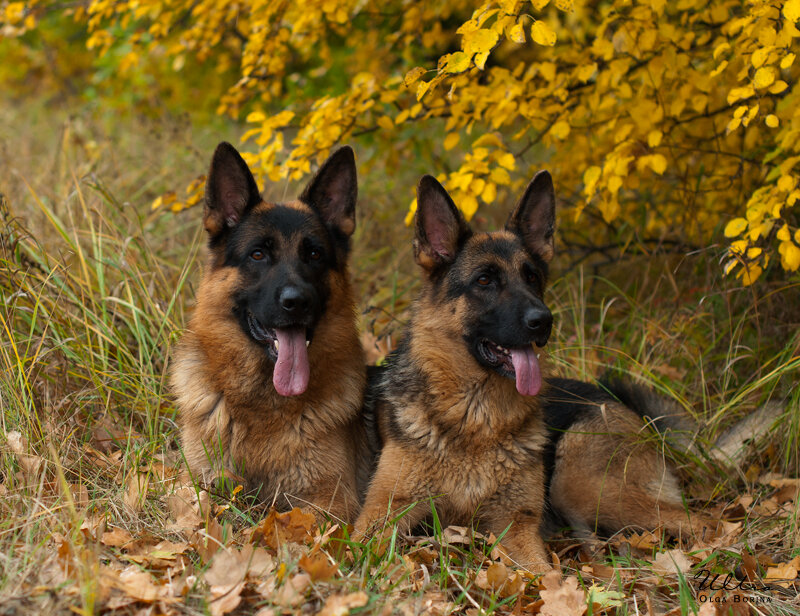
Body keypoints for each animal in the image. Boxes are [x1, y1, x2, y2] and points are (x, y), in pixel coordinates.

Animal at [172, 143, 372, 520]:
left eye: (314, 254)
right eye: (258, 254)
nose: (297, 302)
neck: (261, 402)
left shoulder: (331, 501)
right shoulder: (193, 480)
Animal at [354, 171, 712, 572]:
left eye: (533, 278)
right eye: (484, 280)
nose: (544, 320)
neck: (475, 418)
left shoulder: (516, 526)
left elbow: (543, 574)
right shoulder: (382, 513)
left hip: (582, 487)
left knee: (702, 521)